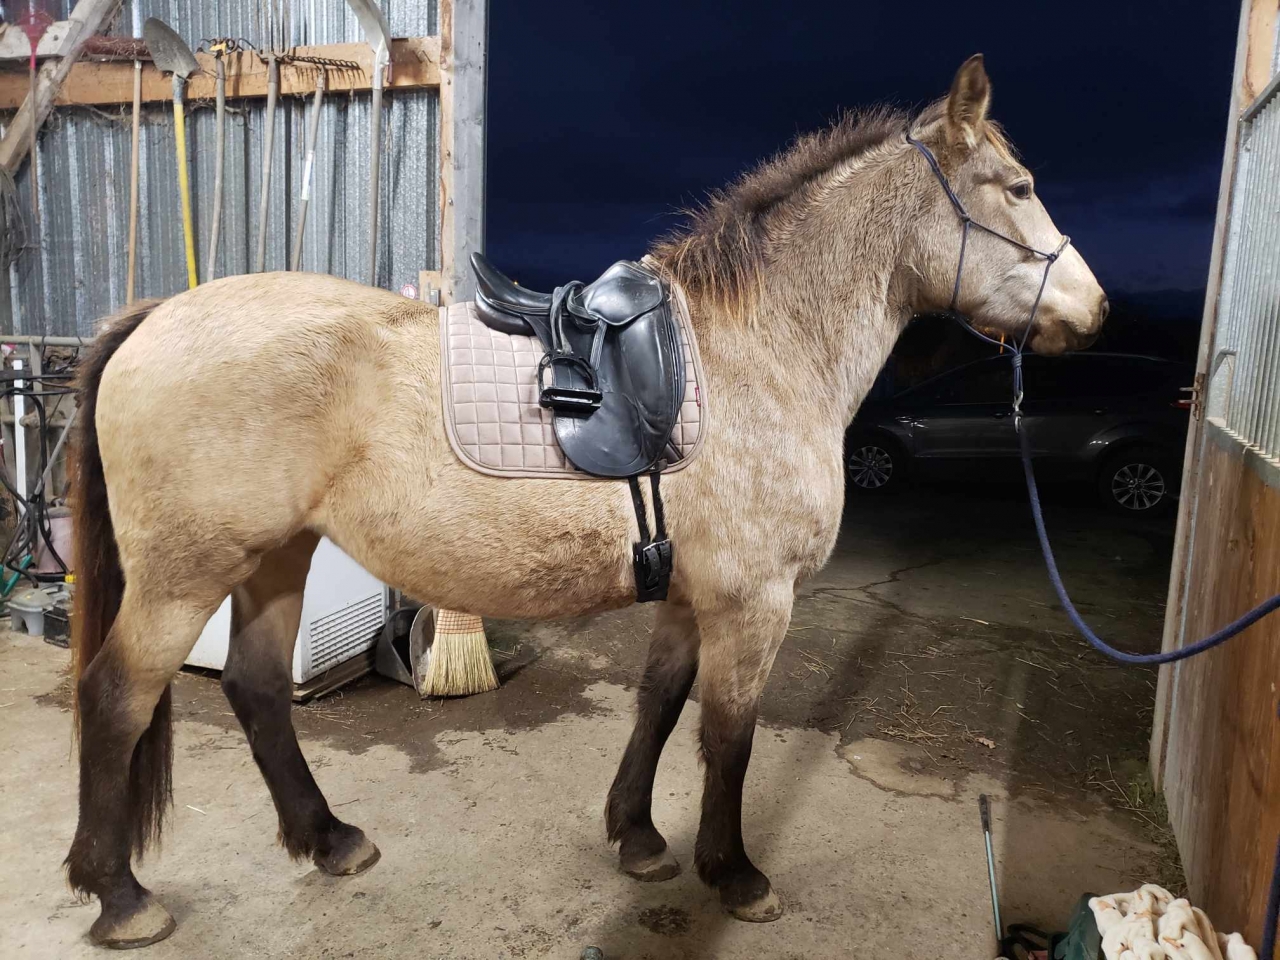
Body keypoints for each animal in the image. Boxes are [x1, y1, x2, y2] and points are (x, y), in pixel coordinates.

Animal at [63, 55, 1107, 948]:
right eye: (1018, 188)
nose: (1095, 310)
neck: (759, 350)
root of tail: (154, 317)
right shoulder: (756, 602)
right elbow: (730, 736)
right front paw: (734, 874)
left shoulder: (692, 596)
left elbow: (660, 703)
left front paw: (638, 839)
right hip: (184, 576)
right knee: (117, 697)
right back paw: (121, 896)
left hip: (277, 556)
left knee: (254, 688)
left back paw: (330, 840)